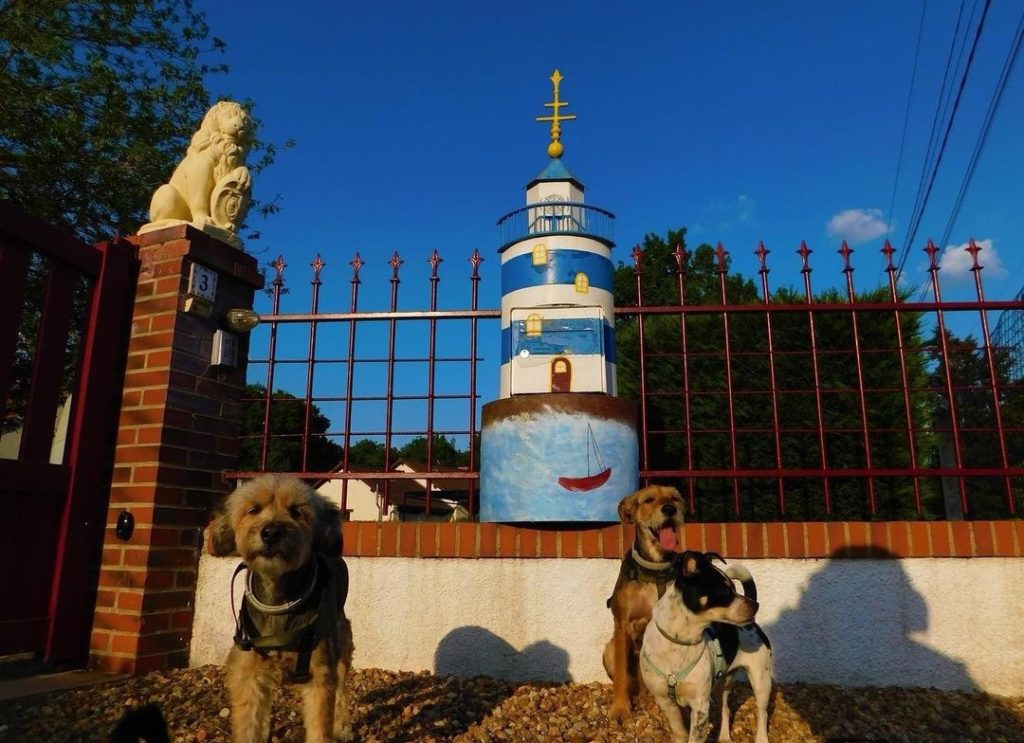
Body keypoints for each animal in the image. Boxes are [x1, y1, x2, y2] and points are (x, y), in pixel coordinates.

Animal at [205, 476, 354, 743]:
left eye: (297, 512)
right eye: (253, 509)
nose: (271, 532)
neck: (278, 599)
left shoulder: (320, 674)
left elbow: (320, 726)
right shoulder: (248, 674)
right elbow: (248, 725)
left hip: (342, 645)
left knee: (341, 691)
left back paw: (341, 727)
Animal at [602, 485, 684, 724]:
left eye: (674, 497)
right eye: (648, 500)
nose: (670, 509)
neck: (656, 568)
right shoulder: (622, 625)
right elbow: (621, 673)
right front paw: (620, 708)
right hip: (608, 651)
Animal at [634, 548, 770, 740]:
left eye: (734, 588)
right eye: (725, 590)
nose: (756, 605)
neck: (679, 643)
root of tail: (753, 624)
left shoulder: (700, 705)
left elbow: (694, 736)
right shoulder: (666, 702)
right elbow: (680, 733)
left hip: (761, 681)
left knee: (762, 713)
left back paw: (761, 738)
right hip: (724, 683)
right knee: (725, 709)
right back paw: (724, 738)